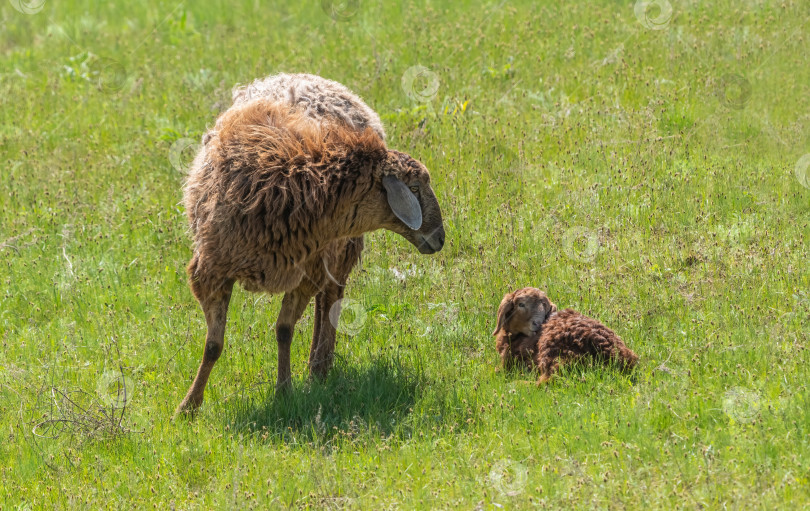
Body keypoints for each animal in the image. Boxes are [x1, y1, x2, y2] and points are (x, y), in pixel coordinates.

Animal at [175, 73, 448, 416]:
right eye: (413, 187)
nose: (440, 238)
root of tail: (305, 77)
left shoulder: (305, 269)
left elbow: (284, 330)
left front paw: (284, 390)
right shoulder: (212, 272)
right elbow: (213, 345)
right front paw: (188, 405)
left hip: (340, 249)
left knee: (331, 297)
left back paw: (319, 366)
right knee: (325, 299)